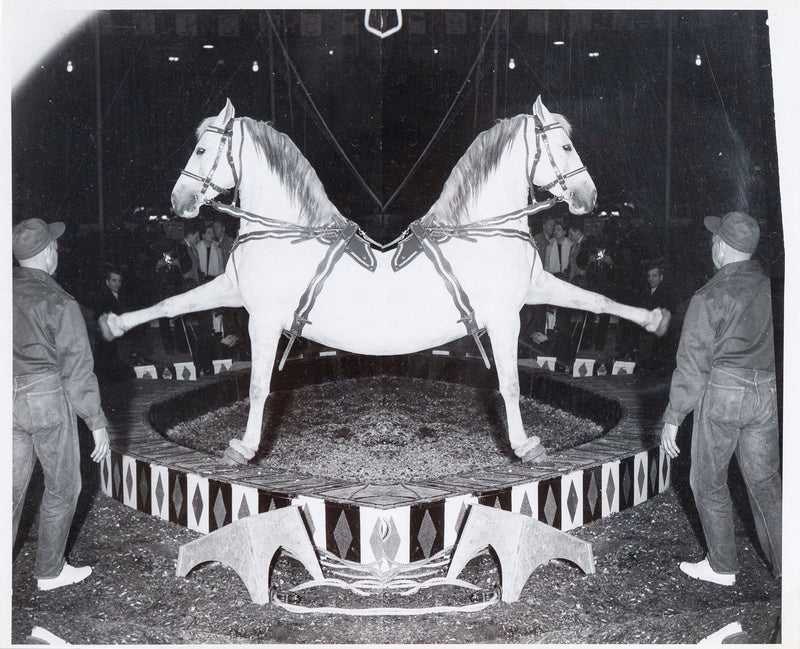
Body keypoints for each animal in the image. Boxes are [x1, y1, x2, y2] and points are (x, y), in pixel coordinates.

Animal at [104, 98, 668, 466]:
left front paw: (655, 319)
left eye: (202, 152)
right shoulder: (247, 305)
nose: (587, 198)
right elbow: (176, 310)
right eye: (567, 146)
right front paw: (114, 324)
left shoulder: (523, 301)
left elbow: (595, 302)